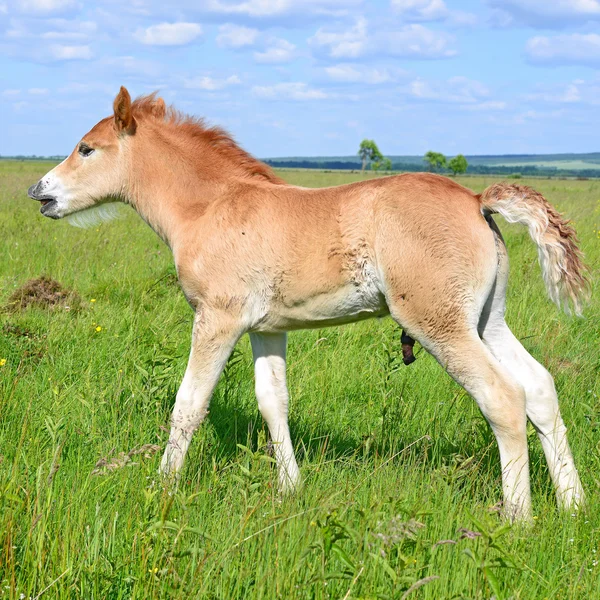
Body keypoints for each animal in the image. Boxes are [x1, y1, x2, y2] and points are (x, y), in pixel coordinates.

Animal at [27, 88, 584, 520]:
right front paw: (290, 490)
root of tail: (476, 202)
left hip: (439, 323)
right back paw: (573, 505)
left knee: (504, 398)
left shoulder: (217, 319)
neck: (210, 207)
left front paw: (161, 486)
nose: (39, 191)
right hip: (487, 321)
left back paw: (517, 518)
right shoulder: (266, 327)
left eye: (87, 149)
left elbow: (189, 403)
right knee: (540, 388)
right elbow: (273, 402)